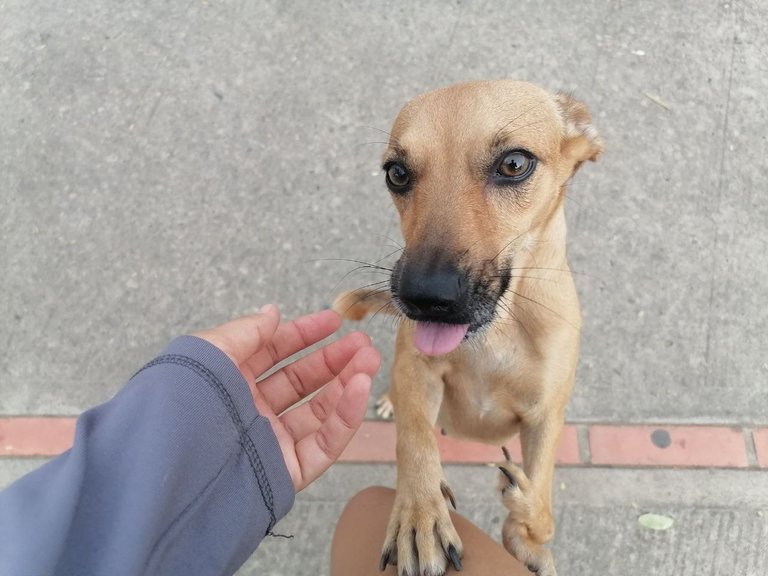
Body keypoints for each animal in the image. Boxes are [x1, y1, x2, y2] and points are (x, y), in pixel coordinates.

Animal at [334, 79, 600, 572]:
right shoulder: (417, 369)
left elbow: (544, 512)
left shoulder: (546, 416)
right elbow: (414, 438)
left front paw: (527, 535)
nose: (424, 298)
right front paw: (419, 514)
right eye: (396, 173)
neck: (498, 332)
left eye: (514, 163)